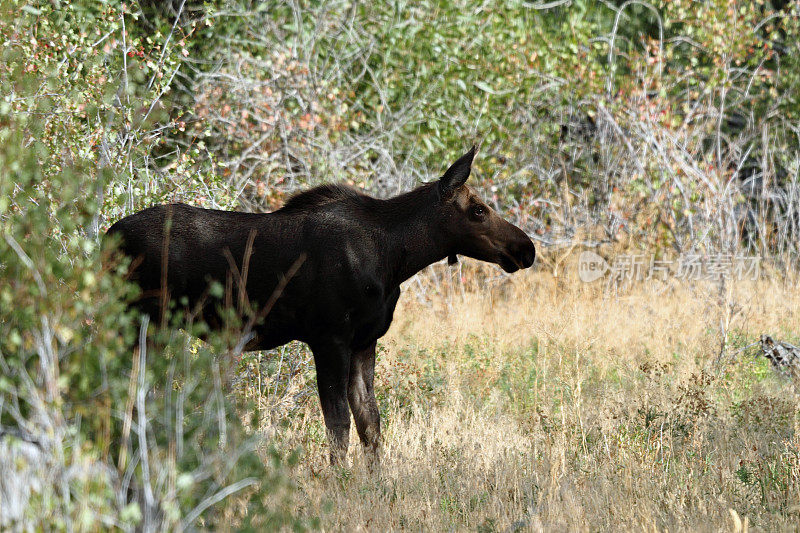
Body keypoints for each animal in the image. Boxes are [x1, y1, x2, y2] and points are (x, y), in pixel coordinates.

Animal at [106, 147, 532, 466]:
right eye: (477, 209)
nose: (526, 249)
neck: (395, 257)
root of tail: (106, 239)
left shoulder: (364, 342)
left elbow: (370, 422)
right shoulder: (329, 338)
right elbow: (338, 422)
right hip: (141, 323)